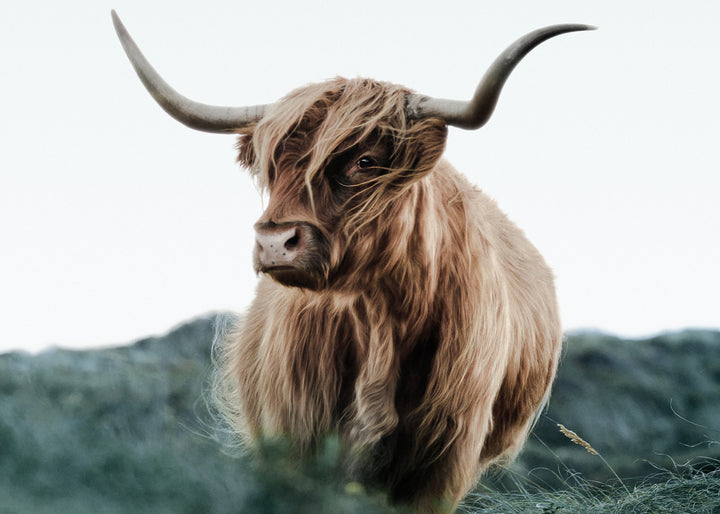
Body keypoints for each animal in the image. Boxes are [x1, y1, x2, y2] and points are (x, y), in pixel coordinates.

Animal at [112, 11, 592, 513]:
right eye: (272, 168)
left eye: (365, 161)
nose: (274, 242)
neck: (377, 315)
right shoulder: (293, 434)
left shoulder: (446, 455)